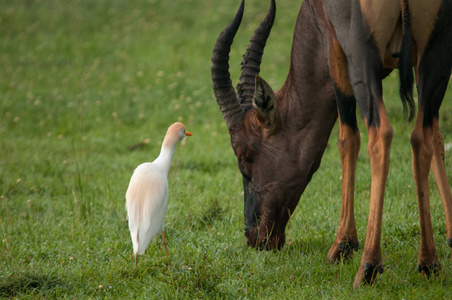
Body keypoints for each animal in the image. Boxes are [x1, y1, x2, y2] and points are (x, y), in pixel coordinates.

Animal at [211, 0, 452, 288]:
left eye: (245, 159)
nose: (255, 237)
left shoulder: (334, 45)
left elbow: (347, 138)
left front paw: (342, 247)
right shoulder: (418, 58)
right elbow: (436, 137)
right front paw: (450, 237)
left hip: (362, 58)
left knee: (380, 135)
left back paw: (368, 266)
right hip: (435, 52)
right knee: (420, 136)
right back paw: (429, 262)